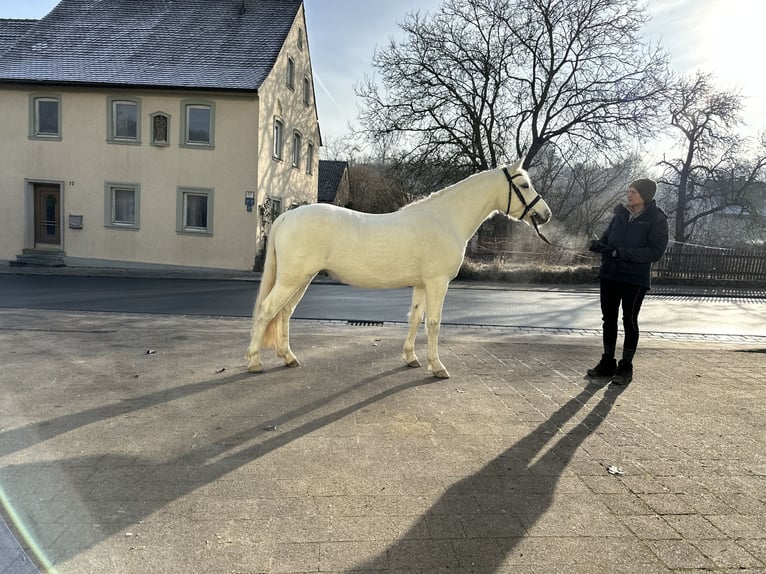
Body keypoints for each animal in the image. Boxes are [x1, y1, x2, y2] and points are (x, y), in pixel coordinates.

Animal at [246, 159, 552, 382]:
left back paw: (288, 357)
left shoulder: (421, 284)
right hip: (292, 278)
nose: (546, 214)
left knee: (284, 313)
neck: (445, 219)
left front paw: (411, 358)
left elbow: (415, 319)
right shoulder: (438, 283)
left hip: (302, 279)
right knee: (267, 310)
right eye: (524, 184)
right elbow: (433, 323)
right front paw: (437, 366)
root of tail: (287, 215)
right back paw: (254, 361)